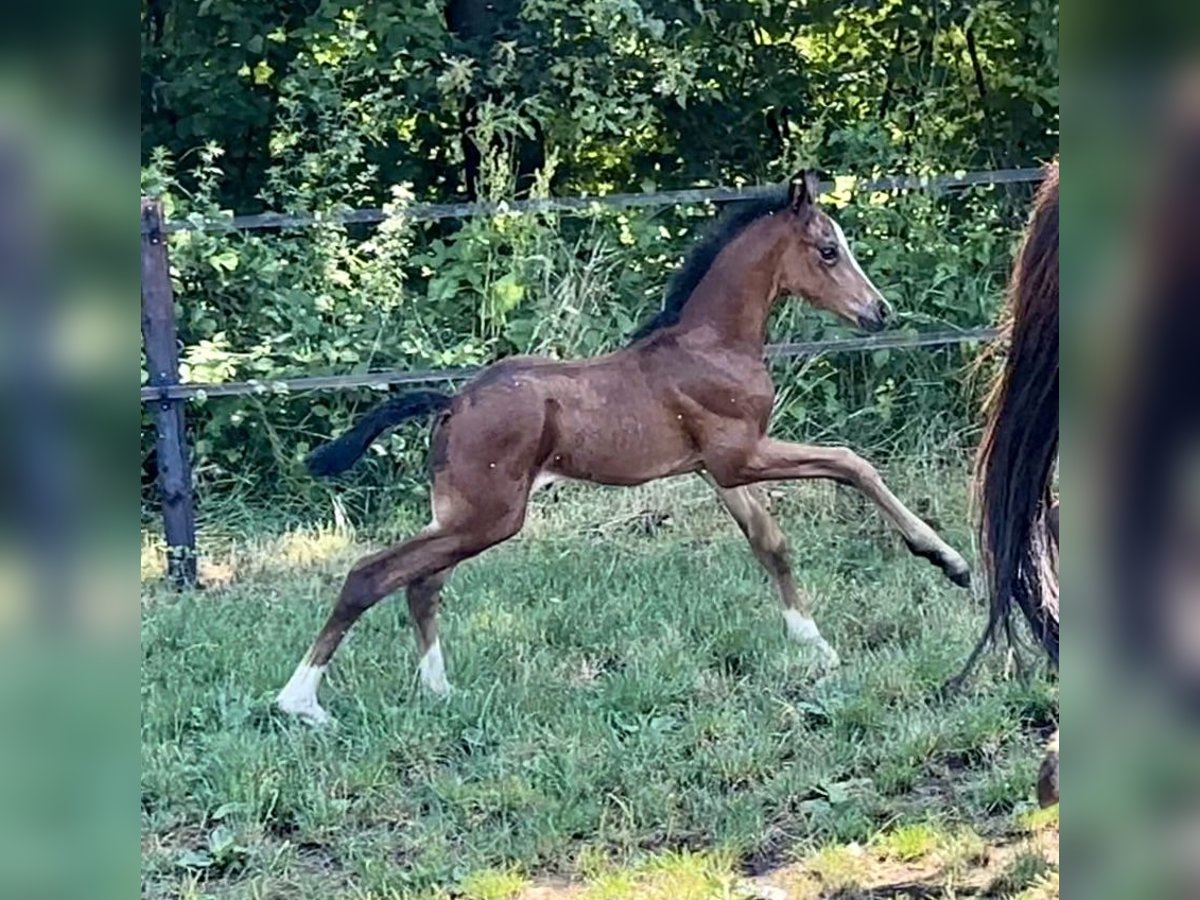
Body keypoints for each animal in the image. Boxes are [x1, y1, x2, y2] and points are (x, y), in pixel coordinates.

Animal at [280, 172, 974, 729]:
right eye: (829, 250)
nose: (879, 312)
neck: (711, 343)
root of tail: (452, 401)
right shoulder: (741, 454)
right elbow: (851, 462)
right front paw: (949, 561)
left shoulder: (718, 471)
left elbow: (771, 546)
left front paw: (818, 648)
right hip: (489, 517)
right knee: (371, 575)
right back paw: (302, 704)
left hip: (463, 516)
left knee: (421, 585)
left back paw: (440, 692)